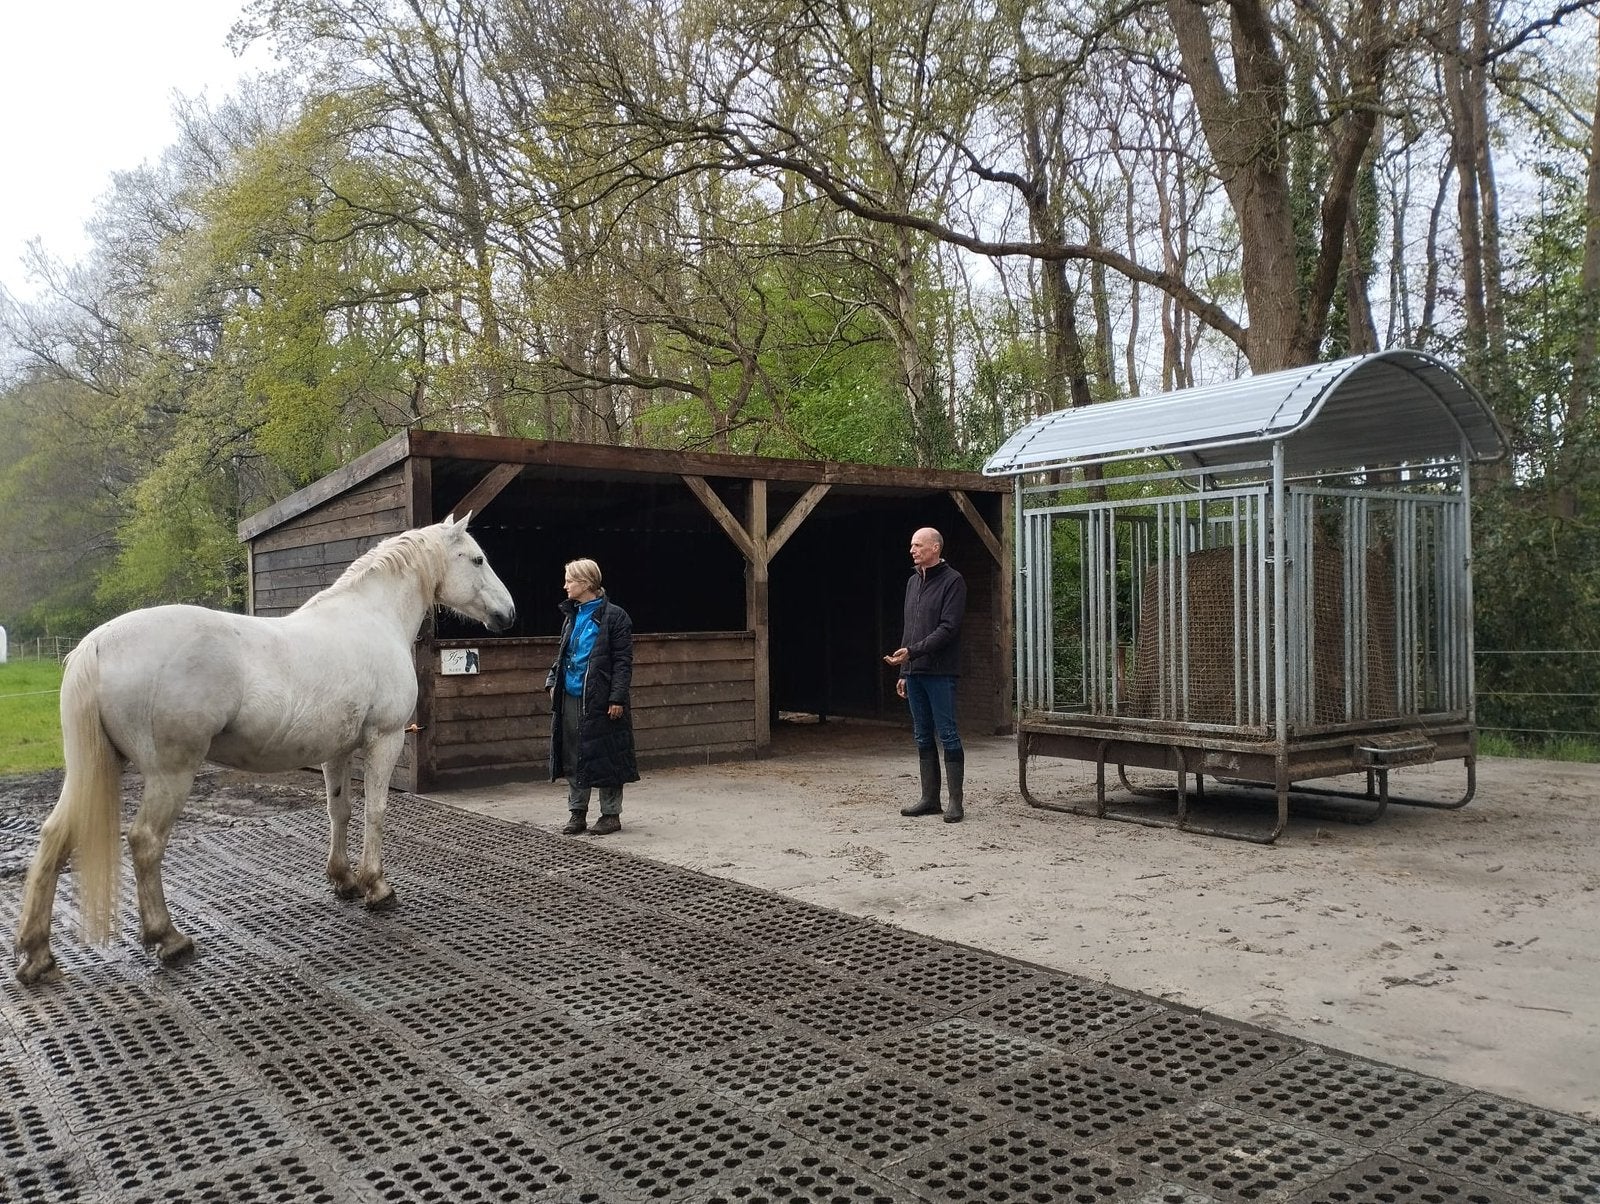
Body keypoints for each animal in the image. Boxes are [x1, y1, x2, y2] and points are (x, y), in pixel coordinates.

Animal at [13, 513, 516, 984]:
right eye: (477, 559)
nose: (509, 614)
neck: (372, 620)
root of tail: (97, 644)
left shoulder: (337, 751)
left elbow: (340, 812)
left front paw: (344, 881)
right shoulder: (384, 739)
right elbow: (376, 812)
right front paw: (377, 887)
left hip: (96, 769)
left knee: (55, 836)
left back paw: (37, 955)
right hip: (169, 775)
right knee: (145, 842)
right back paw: (169, 939)